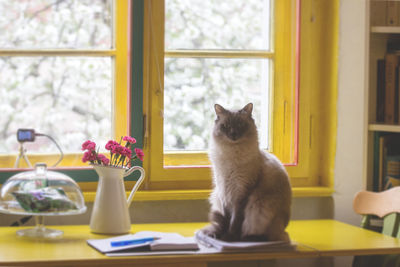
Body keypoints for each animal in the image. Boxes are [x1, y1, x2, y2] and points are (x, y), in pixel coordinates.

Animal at [202, 102, 292, 243]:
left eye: (240, 125)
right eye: (225, 126)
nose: (233, 134)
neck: (232, 153)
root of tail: (283, 229)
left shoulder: (242, 192)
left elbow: (235, 221)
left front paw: (229, 238)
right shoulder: (224, 190)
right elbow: (226, 218)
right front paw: (223, 236)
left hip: (260, 209)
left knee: (267, 236)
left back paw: (246, 238)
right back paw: (215, 234)